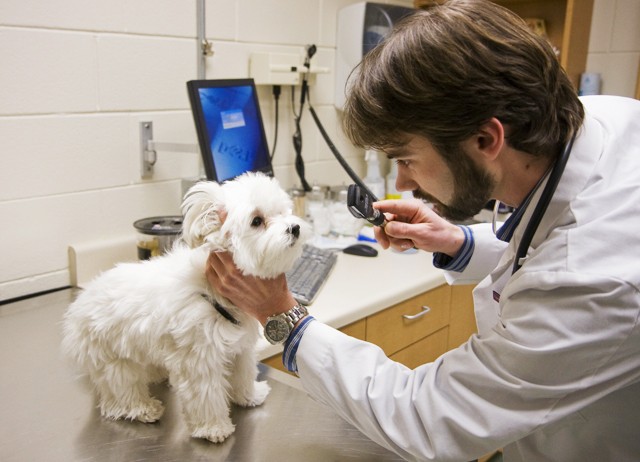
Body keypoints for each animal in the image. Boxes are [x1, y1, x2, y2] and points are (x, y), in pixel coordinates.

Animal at [62, 171, 310, 442]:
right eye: (257, 221)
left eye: (283, 212)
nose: (295, 227)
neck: (212, 289)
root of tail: (77, 308)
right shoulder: (200, 358)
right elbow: (206, 395)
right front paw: (214, 427)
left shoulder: (240, 350)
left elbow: (243, 374)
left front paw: (249, 396)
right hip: (111, 357)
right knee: (119, 393)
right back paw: (143, 408)